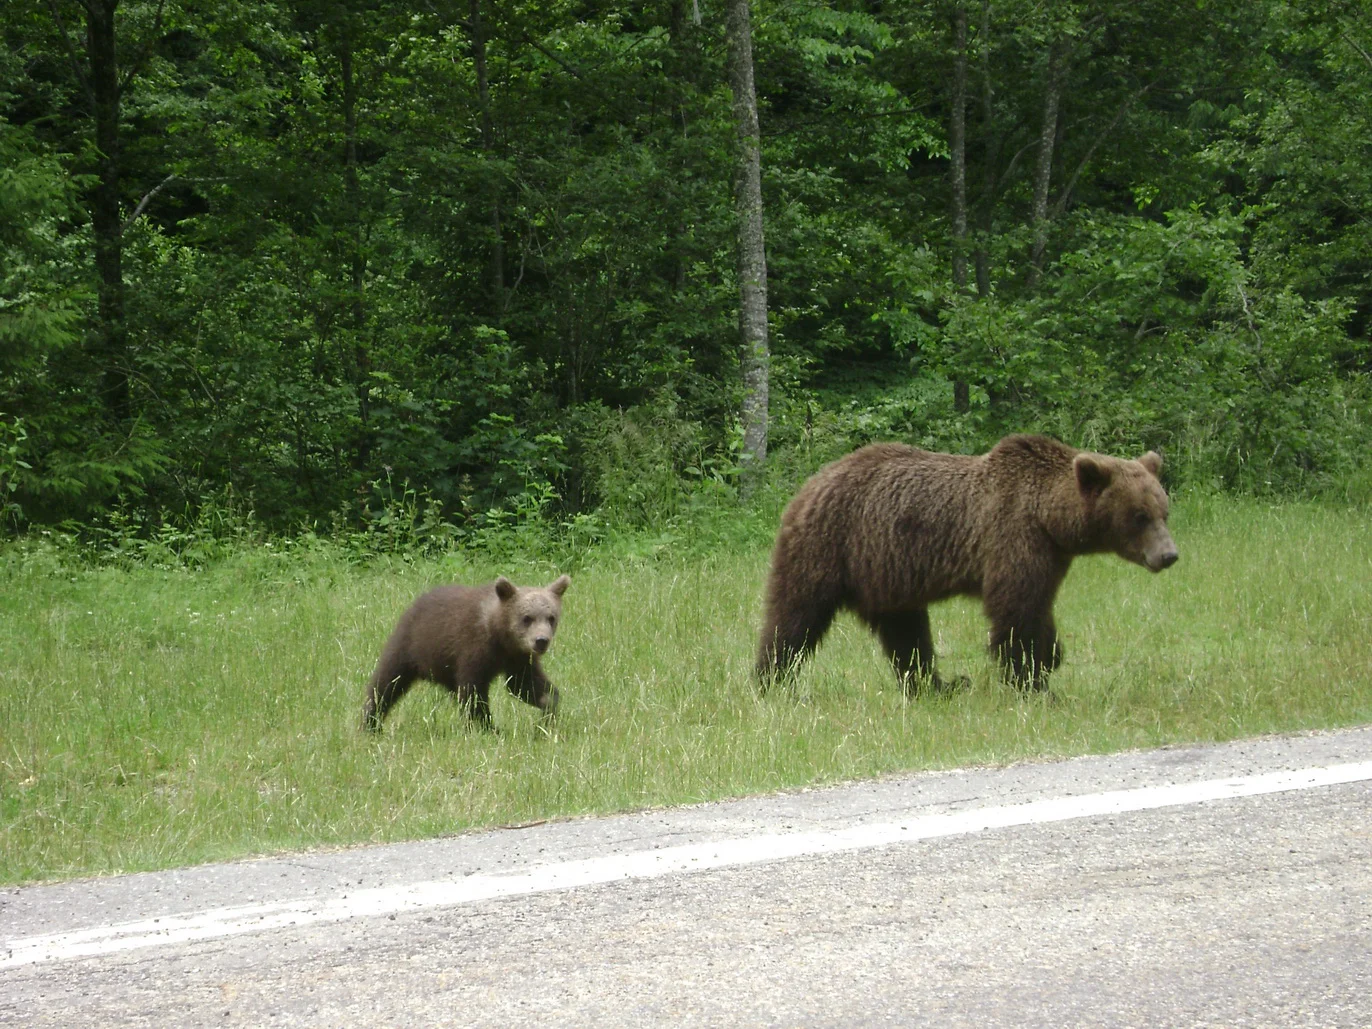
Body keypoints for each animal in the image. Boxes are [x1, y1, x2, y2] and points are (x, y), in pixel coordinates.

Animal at [757, 436, 1174, 694]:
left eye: (1163, 510)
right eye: (1139, 515)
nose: (1168, 555)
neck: (1048, 519)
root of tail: (809, 485)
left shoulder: (1050, 556)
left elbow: (1039, 608)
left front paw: (1051, 656)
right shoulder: (1013, 538)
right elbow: (1016, 614)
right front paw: (1032, 681)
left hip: (886, 574)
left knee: (906, 635)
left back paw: (940, 686)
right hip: (829, 548)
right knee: (794, 617)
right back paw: (771, 681)